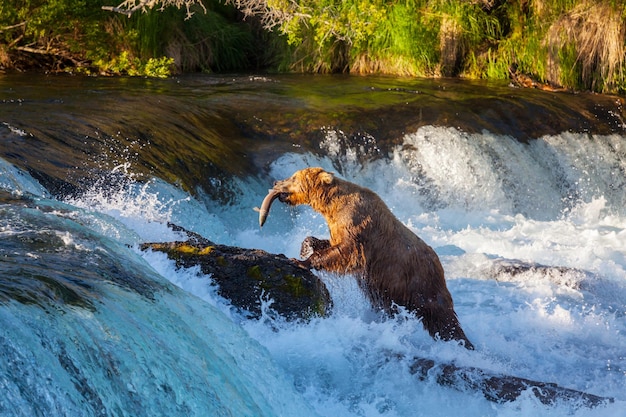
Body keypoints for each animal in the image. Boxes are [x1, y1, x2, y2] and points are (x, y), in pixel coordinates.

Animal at [260, 166, 472, 348]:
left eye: (293, 177)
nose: (277, 182)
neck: (331, 206)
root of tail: (440, 264)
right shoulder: (338, 227)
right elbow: (330, 244)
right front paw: (306, 246)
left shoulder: (358, 227)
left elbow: (345, 253)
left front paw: (302, 261)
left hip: (420, 282)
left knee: (441, 317)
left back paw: (462, 342)